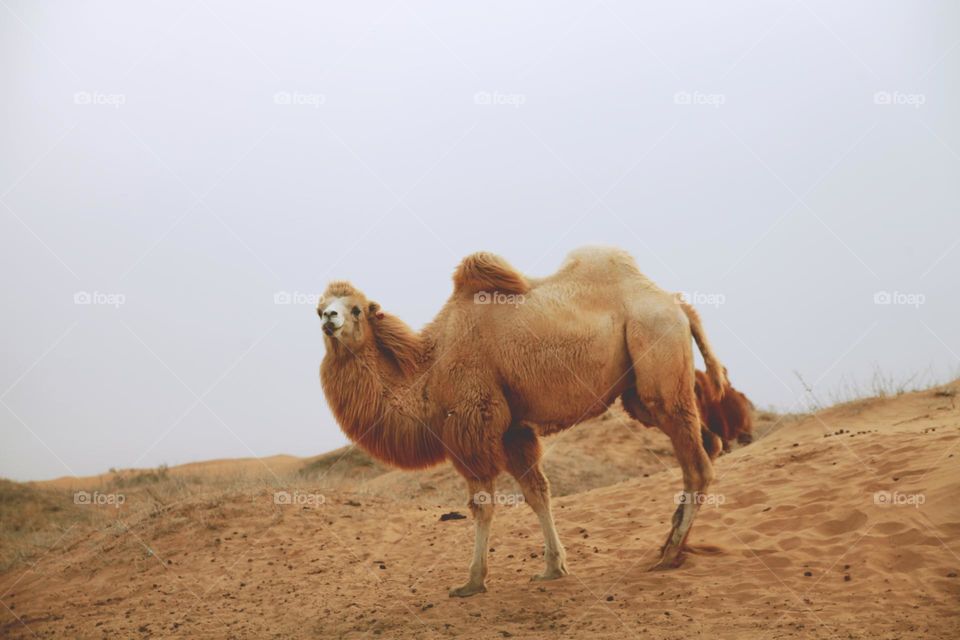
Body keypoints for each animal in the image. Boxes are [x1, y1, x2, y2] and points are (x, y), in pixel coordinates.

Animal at [317, 246, 727, 597]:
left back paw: (670, 553)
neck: (429, 371)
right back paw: (673, 542)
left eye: (356, 309)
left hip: (657, 352)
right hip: (640, 393)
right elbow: (537, 492)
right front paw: (553, 567)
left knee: (697, 464)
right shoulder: (513, 429)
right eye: (320, 307)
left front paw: (472, 582)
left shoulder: (474, 422)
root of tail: (677, 304)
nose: (329, 319)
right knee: (709, 443)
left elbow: (482, 505)